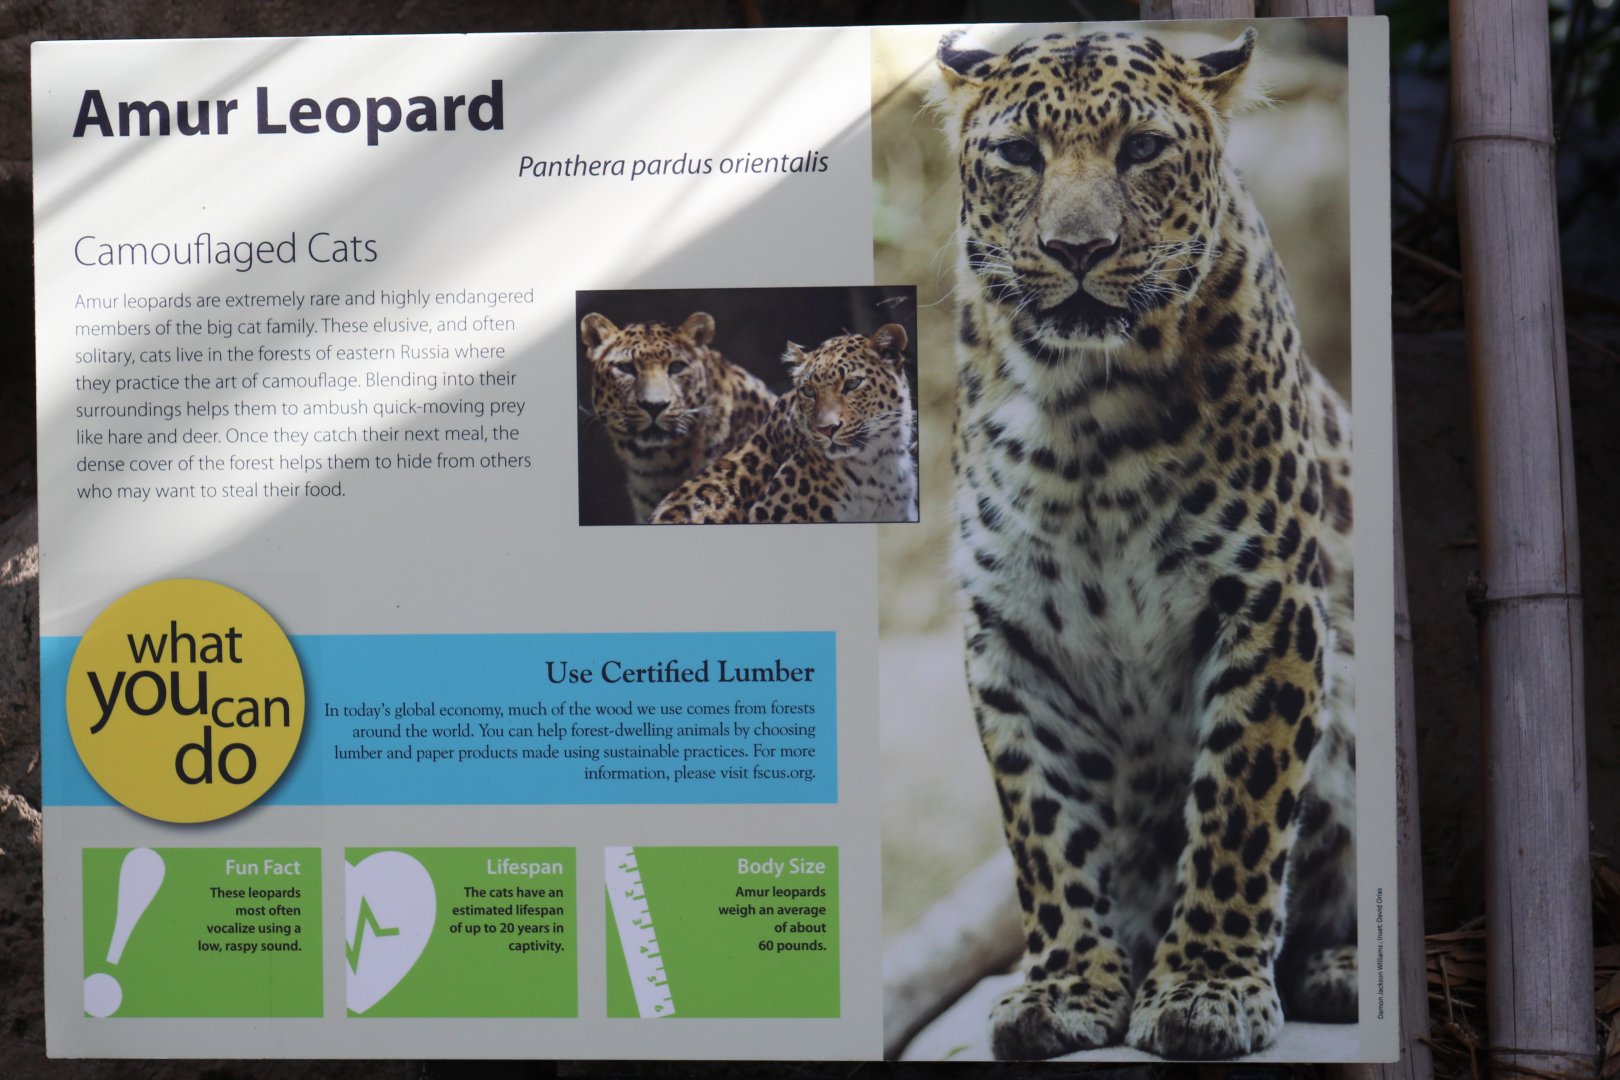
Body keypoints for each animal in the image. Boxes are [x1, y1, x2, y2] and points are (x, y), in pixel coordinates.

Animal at [930, 26, 1358, 1060]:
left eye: (1142, 151)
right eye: (1019, 155)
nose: (1077, 248)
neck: (1083, 412)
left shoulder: (1270, 605)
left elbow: (1241, 805)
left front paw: (1206, 987)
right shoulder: (1012, 635)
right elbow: (1044, 823)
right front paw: (1067, 986)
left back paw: (1340, 967)